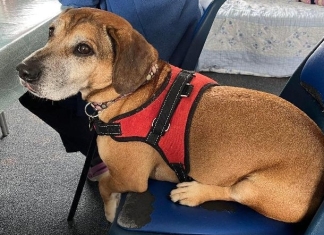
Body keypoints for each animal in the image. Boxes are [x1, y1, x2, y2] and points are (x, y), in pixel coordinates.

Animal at [16, 7, 324, 224]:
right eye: (50, 32)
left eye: (83, 49)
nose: (22, 70)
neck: (132, 93)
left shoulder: (131, 177)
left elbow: (105, 185)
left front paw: (109, 210)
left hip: (254, 187)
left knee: (232, 193)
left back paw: (192, 192)